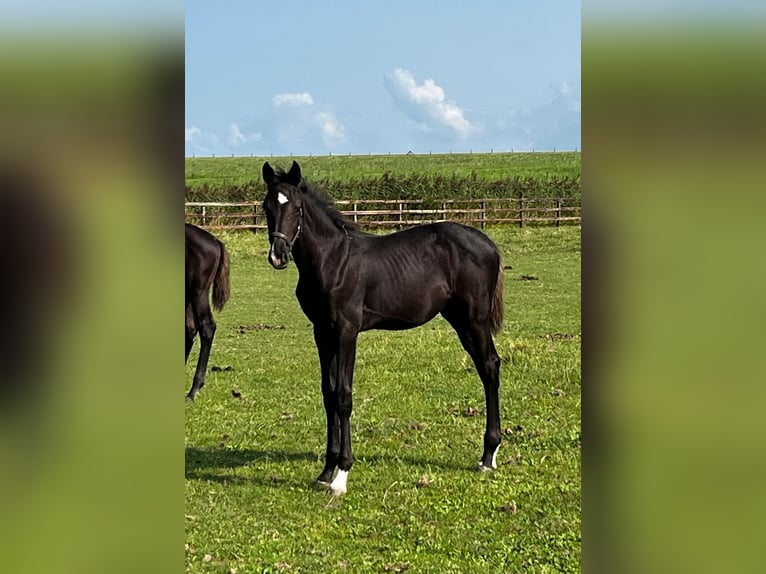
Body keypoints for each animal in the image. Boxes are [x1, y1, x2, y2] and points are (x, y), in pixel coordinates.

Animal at [260, 161, 508, 496]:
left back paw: (488, 456)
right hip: (458, 319)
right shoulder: (322, 332)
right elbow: (328, 394)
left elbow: (343, 396)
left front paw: (341, 475)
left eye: (297, 207)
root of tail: (490, 245)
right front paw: (325, 471)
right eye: (266, 207)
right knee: (486, 367)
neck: (332, 261)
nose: (278, 255)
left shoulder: (346, 331)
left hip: (474, 319)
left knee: (490, 367)